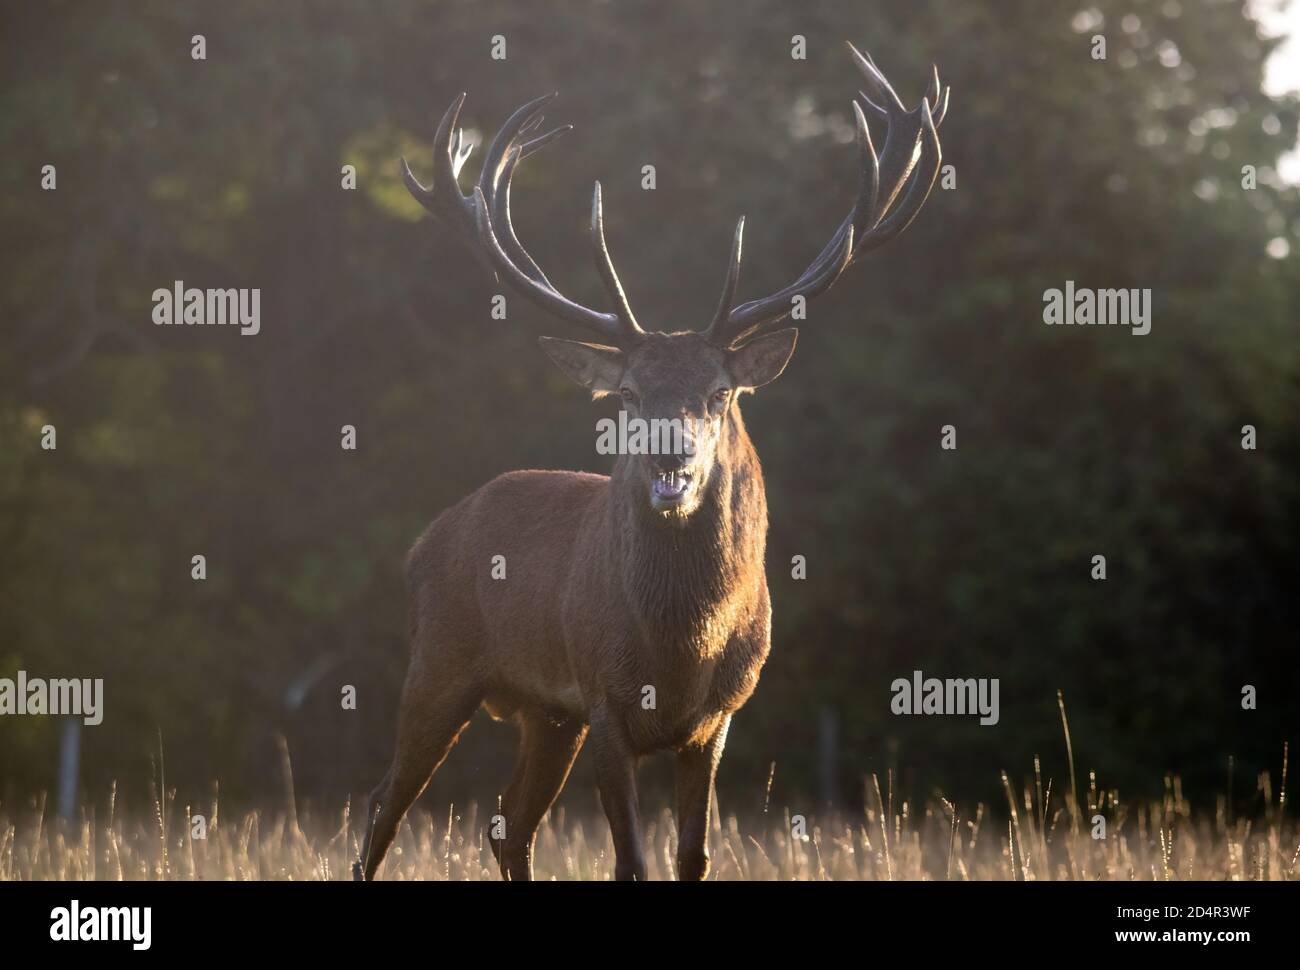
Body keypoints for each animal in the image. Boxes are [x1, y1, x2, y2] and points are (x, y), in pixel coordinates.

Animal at [355, 42, 948, 882]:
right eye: (630, 394)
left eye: (720, 392)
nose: (672, 450)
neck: (681, 654)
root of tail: (424, 540)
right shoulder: (605, 699)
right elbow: (631, 861)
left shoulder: (721, 715)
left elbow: (693, 855)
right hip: (440, 660)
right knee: (385, 804)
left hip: (545, 712)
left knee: (508, 820)